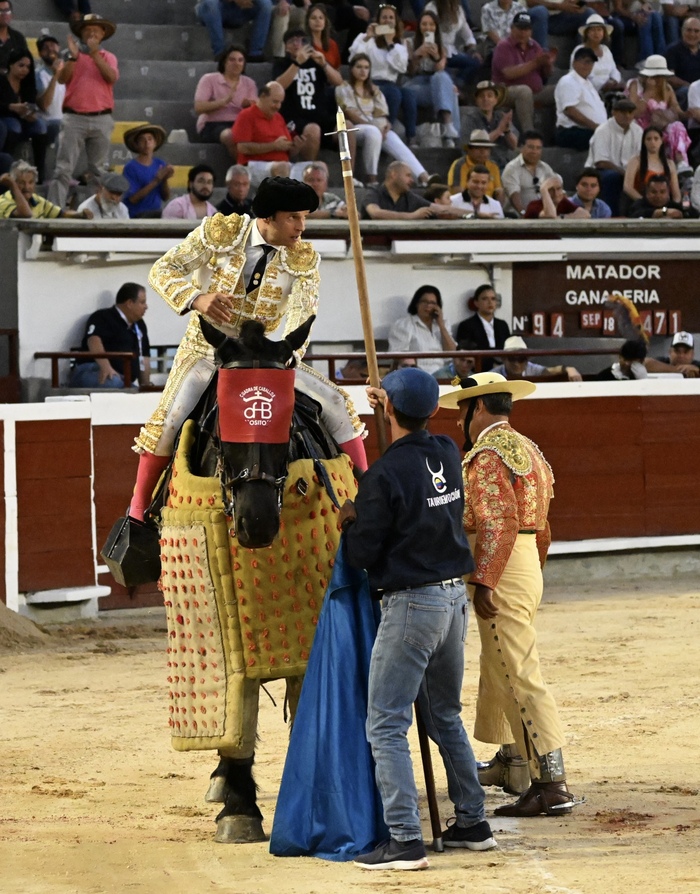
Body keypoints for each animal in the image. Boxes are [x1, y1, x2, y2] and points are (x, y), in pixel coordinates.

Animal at [156, 316, 359, 843]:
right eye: (222, 422)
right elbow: (238, 702)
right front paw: (238, 805)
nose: (257, 522)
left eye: (286, 423)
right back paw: (222, 782)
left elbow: (304, 687)